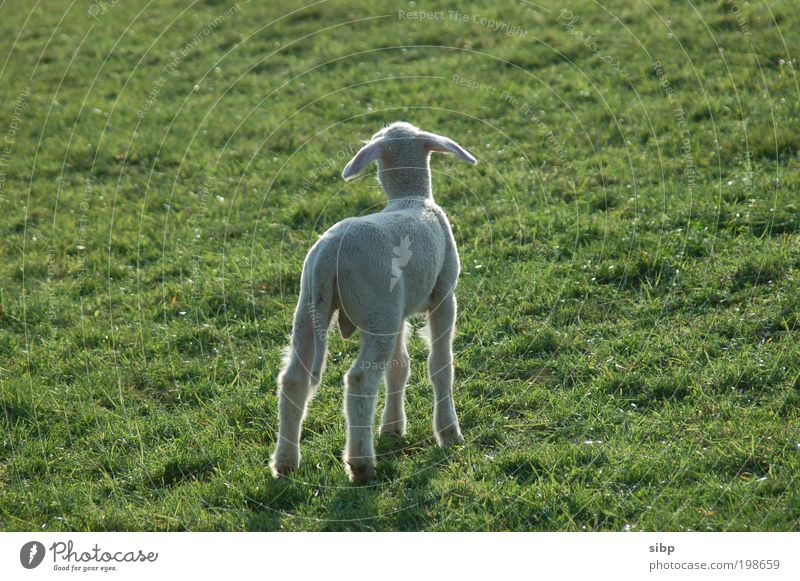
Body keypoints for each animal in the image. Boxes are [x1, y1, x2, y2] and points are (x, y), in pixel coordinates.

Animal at [272, 120, 478, 482]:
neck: (411, 197)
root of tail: (331, 255)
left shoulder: (400, 310)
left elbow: (399, 367)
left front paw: (393, 428)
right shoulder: (443, 296)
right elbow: (439, 364)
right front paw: (449, 433)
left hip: (312, 310)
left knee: (294, 379)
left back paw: (285, 462)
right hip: (377, 311)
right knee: (360, 378)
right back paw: (361, 463)